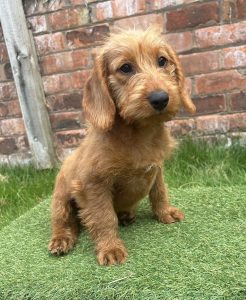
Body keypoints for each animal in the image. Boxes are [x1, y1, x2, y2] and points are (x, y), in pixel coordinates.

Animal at [48, 28, 195, 266]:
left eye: (162, 61)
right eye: (125, 68)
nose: (161, 98)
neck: (138, 133)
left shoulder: (157, 168)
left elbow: (159, 192)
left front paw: (165, 213)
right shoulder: (94, 184)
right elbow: (104, 217)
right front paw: (111, 247)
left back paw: (126, 215)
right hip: (60, 196)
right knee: (64, 219)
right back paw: (62, 239)